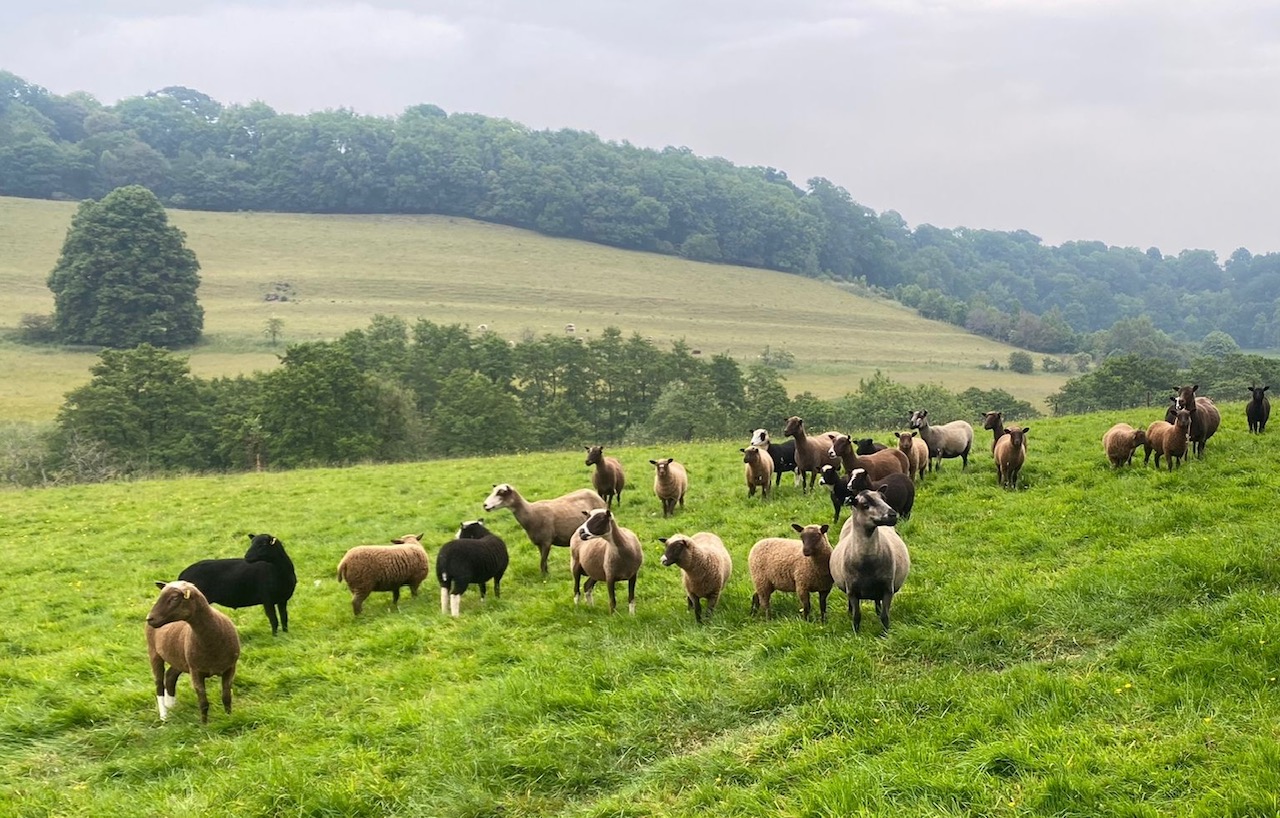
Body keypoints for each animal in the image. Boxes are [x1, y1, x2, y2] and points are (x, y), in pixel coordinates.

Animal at [145, 580, 240, 723]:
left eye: (174, 598)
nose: (149, 618)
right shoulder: (196, 671)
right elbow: (204, 702)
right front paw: (205, 724)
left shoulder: (230, 668)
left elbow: (226, 696)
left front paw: (229, 717)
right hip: (154, 653)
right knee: (159, 685)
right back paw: (164, 716)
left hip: (180, 659)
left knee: (170, 676)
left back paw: (171, 706)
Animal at [830, 490, 911, 634]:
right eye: (865, 505)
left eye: (884, 499)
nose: (893, 514)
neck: (867, 563)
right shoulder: (852, 590)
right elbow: (857, 616)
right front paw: (856, 633)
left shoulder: (887, 588)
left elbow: (885, 616)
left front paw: (885, 634)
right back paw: (849, 612)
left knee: (877, 602)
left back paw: (877, 612)